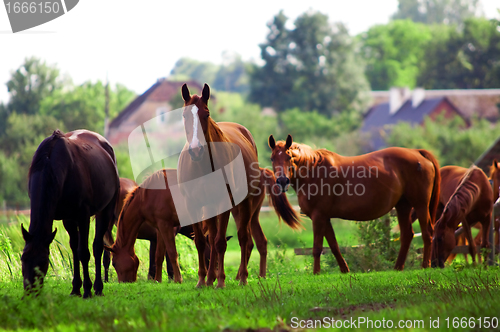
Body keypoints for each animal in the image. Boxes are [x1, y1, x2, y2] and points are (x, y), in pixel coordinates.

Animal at [22, 130, 119, 298]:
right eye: (23, 258)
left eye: (43, 261)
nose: (30, 292)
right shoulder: (68, 218)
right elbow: (74, 249)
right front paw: (75, 289)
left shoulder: (83, 216)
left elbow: (83, 252)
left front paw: (87, 290)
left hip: (105, 210)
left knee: (98, 247)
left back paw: (98, 287)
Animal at [178, 83, 298, 288]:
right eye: (185, 115)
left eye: (206, 114)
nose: (196, 150)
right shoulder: (192, 205)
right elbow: (201, 242)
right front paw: (202, 280)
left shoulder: (224, 202)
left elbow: (220, 242)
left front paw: (220, 281)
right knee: (215, 237)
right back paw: (210, 279)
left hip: (244, 205)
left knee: (244, 239)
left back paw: (242, 277)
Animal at [270, 134, 438, 272]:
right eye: (272, 158)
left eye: (289, 157)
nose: (282, 181)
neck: (314, 171)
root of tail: (417, 152)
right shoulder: (325, 217)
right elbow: (334, 246)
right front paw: (345, 270)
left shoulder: (318, 216)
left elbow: (317, 248)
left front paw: (316, 273)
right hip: (403, 205)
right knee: (407, 235)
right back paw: (398, 267)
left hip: (421, 205)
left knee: (427, 232)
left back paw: (425, 266)